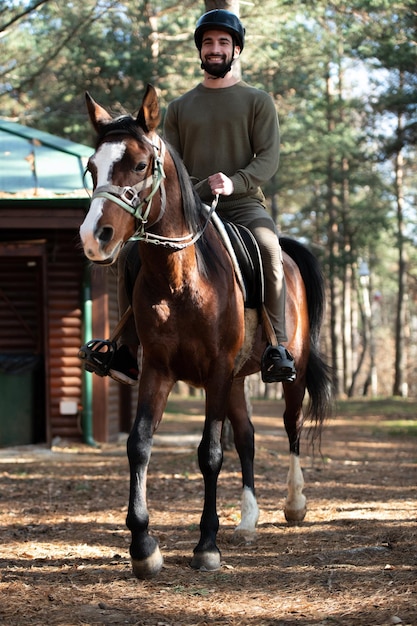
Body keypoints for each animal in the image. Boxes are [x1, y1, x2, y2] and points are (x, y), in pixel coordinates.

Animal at [78, 85, 332, 576]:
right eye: (92, 168)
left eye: (140, 165)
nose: (93, 237)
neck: (180, 278)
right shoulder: (158, 370)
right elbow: (139, 445)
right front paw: (144, 546)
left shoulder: (215, 371)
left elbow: (210, 454)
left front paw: (206, 545)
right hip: (234, 381)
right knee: (248, 436)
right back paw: (248, 521)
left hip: (283, 371)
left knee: (290, 425)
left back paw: (294, 504)